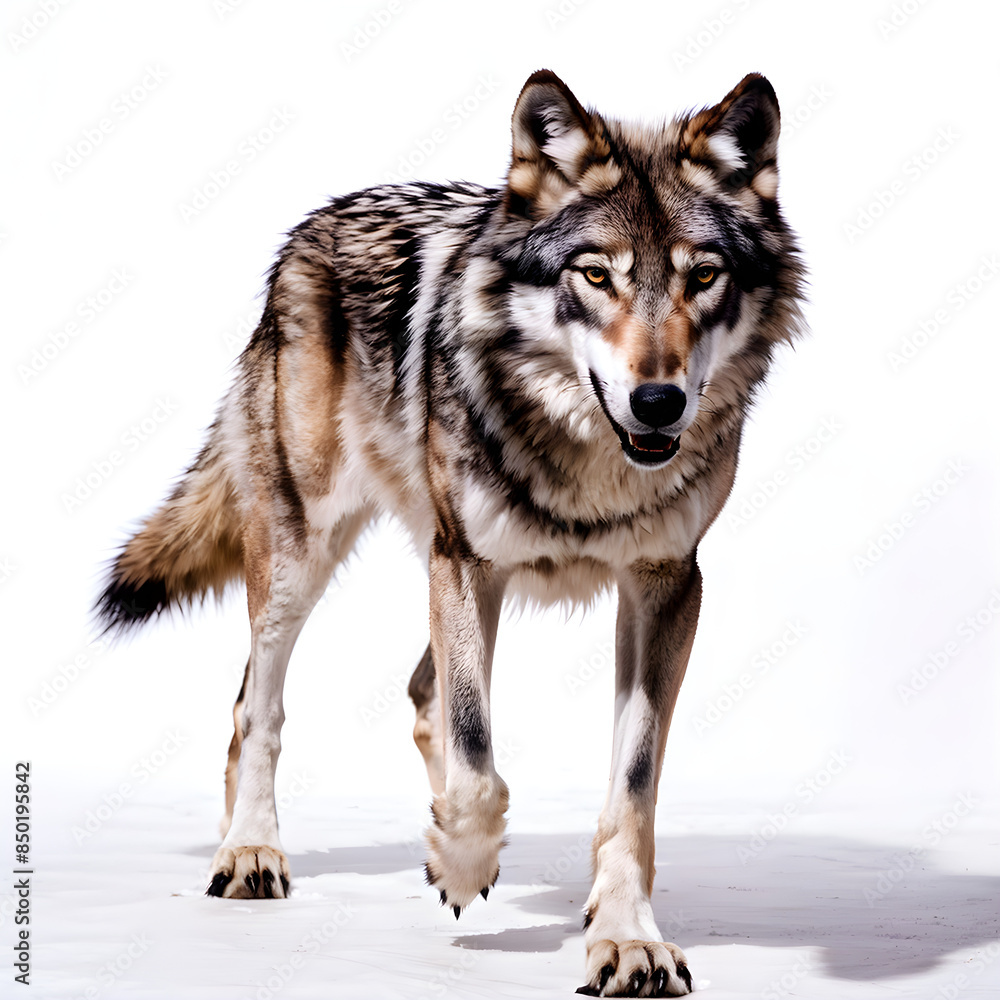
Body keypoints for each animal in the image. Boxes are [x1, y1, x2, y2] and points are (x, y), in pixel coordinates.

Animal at [96, 70, 804, 996]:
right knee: (260, 701)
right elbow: (476, 754)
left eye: (705, 276)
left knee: (420, 692)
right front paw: (463, 863)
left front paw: (626, 938)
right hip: (303, 556)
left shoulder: (666, 585)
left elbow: (629, 790)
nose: (659, 403)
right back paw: (250, 852)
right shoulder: (465, 559)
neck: (591, 468)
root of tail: (312, 224)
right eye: (595, 275)